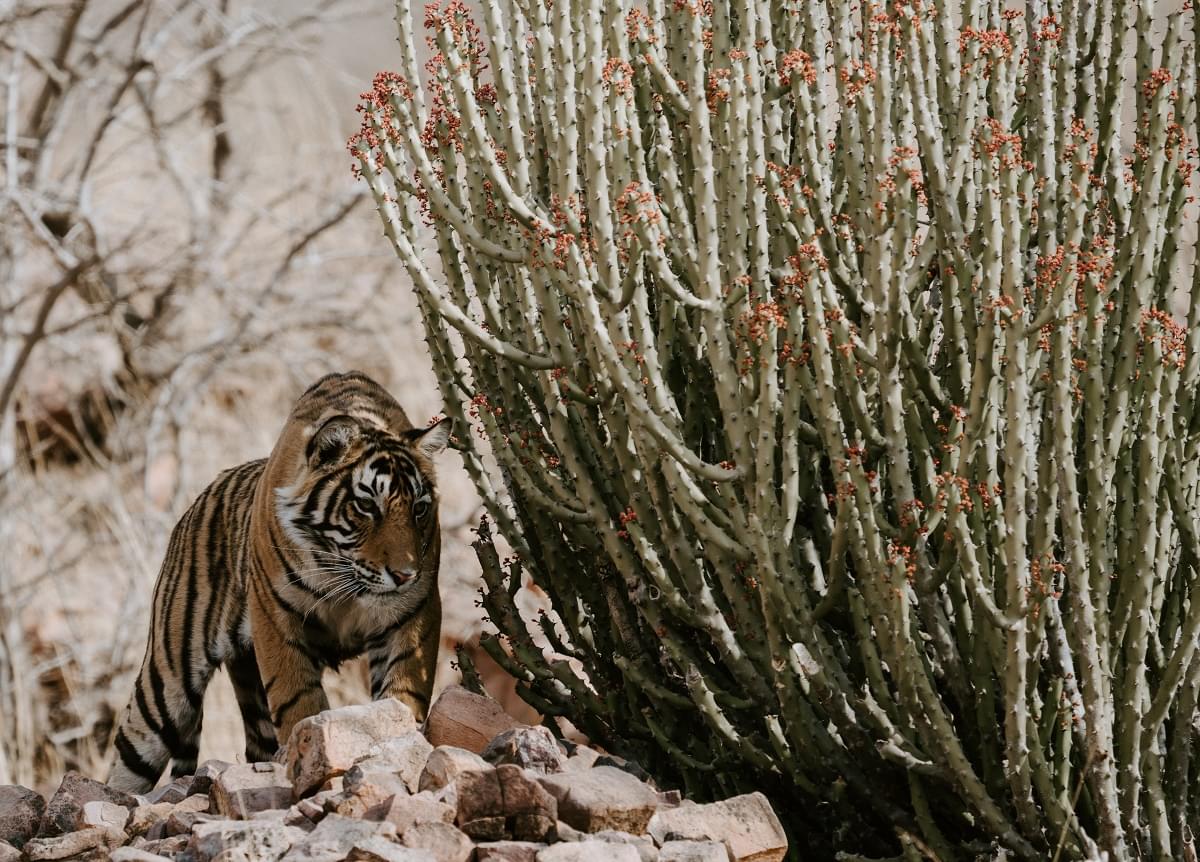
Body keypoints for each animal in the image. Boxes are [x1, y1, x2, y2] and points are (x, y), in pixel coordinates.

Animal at [108, 372, 451, 797]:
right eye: (367, 505)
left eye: (419, 508)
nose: (404, 575)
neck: (345, 577)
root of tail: (193, 505)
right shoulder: (276, 617)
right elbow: (299, 701)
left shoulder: (414, 613)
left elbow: (403, 695)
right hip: (166, 683)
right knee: (129, 760)